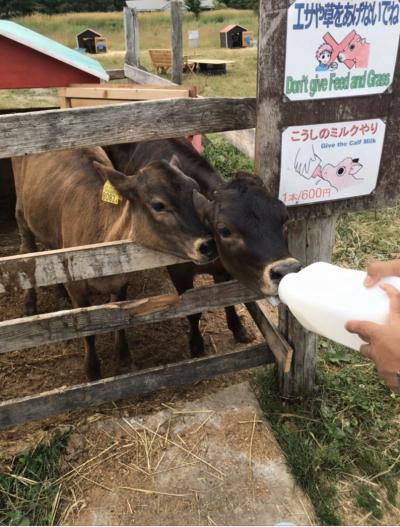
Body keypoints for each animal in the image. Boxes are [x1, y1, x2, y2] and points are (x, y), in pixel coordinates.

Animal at [12, 147, 217, 379]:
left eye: (195, 189)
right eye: (158, 205)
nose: (209, 244)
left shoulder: (121, 279)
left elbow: (120, 317)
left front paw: (123, 356)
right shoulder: (77, 286)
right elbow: (89, 331)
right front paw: (92, 369)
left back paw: (59, 292)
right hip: (21, 211)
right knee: (28, 252)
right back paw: (30, 304)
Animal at [105, 139, 301, 358]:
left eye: (284, 220)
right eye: (224, 230)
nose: (287, 270)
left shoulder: (224, 270)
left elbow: (227, 300)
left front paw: (238, 329)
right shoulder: (179, 274)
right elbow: (192, 310)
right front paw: (197, 345)